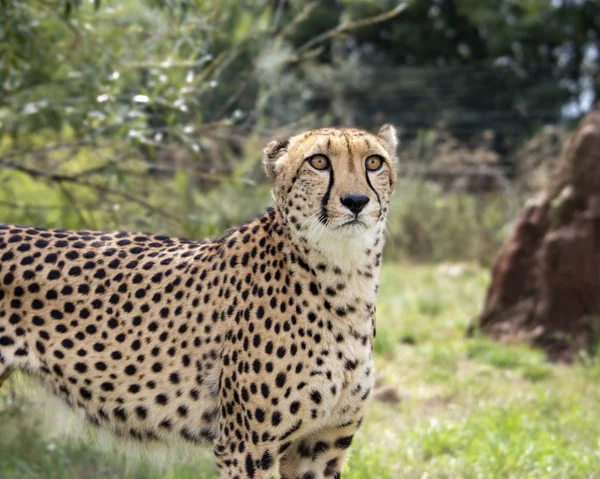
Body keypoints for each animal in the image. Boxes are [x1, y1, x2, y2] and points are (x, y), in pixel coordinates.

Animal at [0, 125, 398, 478]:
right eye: (318, 162)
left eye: (374, 162)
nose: (356, 201)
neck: (344, 276)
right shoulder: (246, 447)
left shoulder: (319, 449)